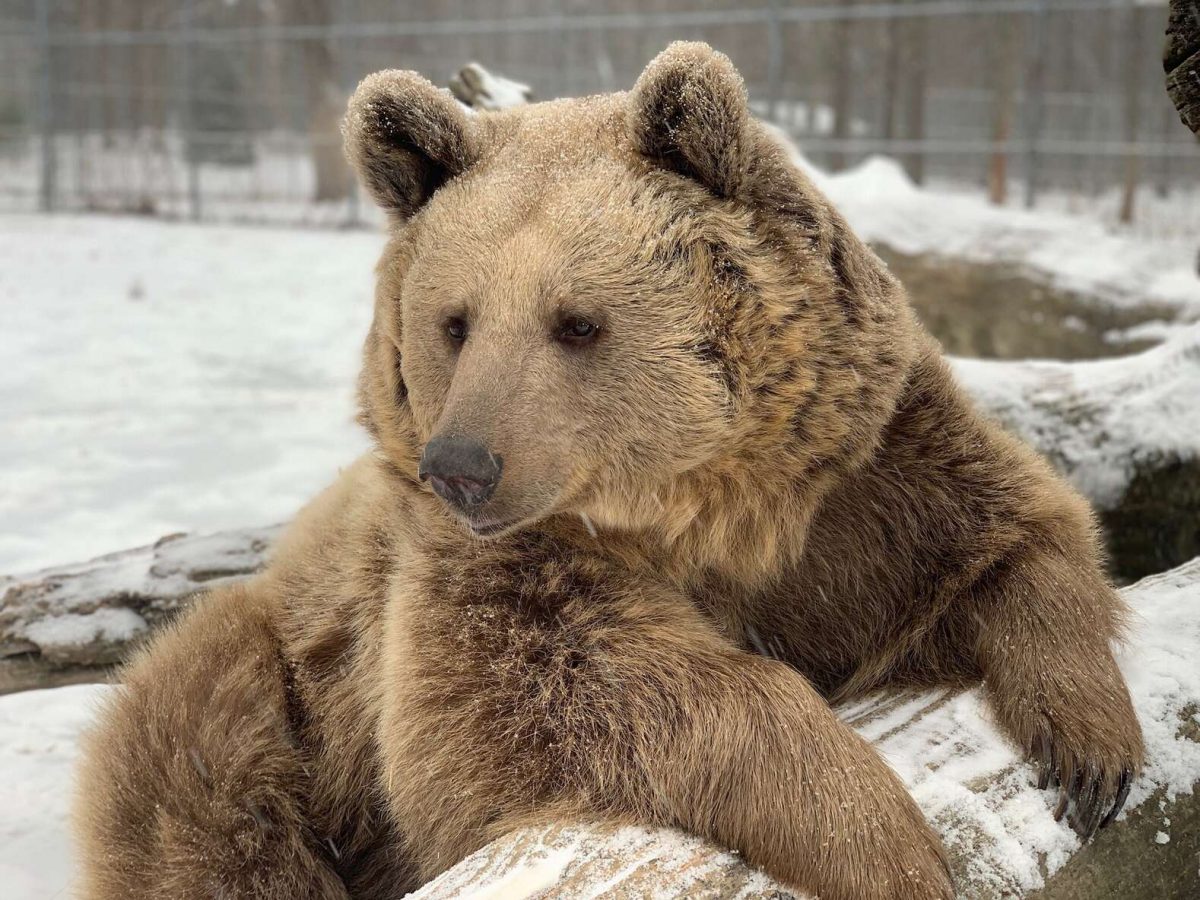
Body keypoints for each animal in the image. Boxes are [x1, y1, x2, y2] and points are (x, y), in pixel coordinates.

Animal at [75, 40, 1142, 900]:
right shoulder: (488, 577)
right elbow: (538, 706)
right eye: (454, 321)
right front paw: (882, 838)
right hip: (262, 707)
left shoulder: (861, 484)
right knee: (216, 808)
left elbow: (1015, 531)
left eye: (576, 321)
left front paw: (1092, 750)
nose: (462, 465)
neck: (703, 511)